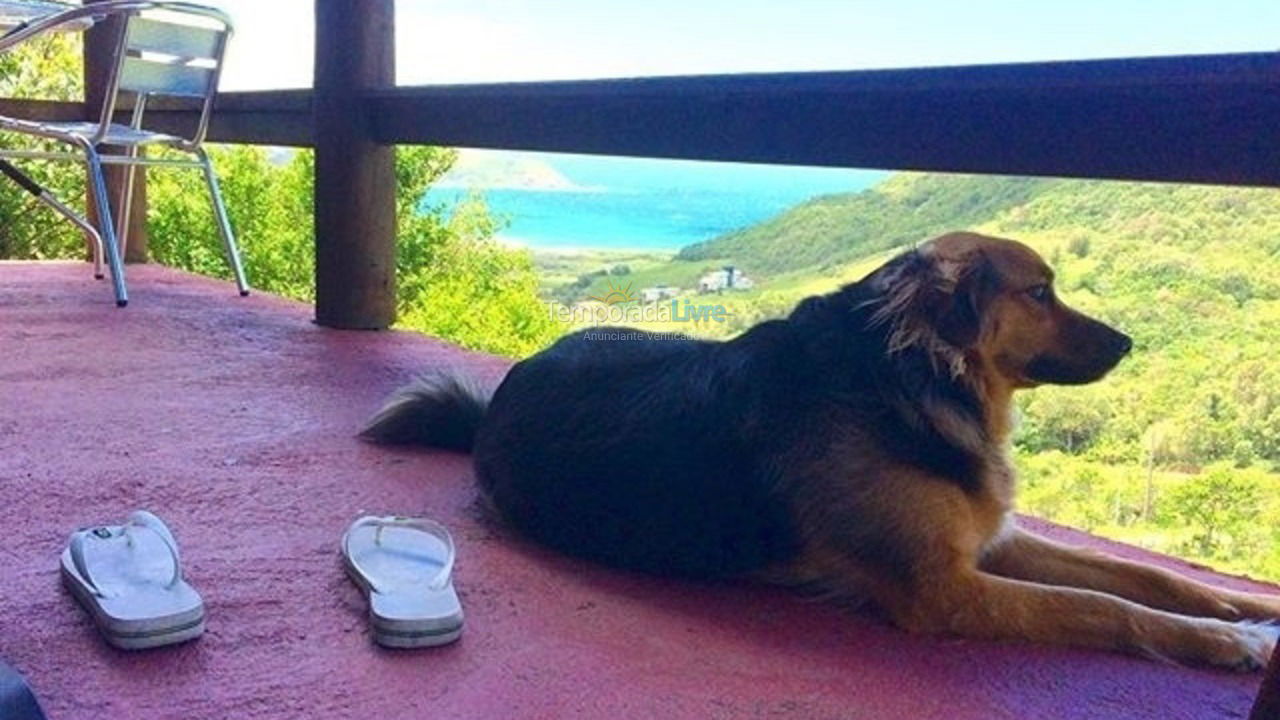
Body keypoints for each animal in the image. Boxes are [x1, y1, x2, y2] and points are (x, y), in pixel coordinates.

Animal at [360, 229, 1280, 666]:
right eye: (1041, 292)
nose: (1130, 342)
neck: (908, 375)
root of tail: (503, 397)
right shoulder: (945, 589)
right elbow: (1107, 608)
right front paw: (1229, 645)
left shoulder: (988, 542)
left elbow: (1142, 577)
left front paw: (1243, 609)